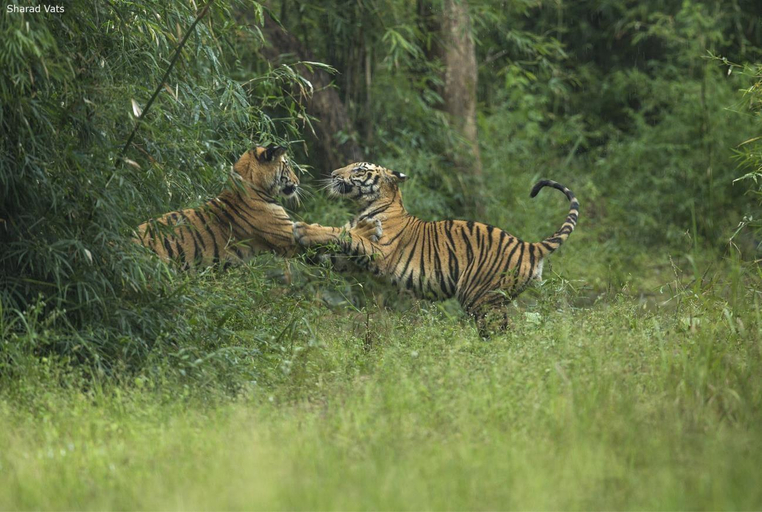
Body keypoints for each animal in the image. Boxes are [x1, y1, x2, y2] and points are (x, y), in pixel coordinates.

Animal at [292, 162, 579, 336]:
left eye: (359, 170)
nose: (333, 174)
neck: (368, 205)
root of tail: (528, 245)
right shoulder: (348, 260)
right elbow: (333, 249)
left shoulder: (378, 251)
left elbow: (341, 233)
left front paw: (303, 229)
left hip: (481, 297)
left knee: (501, 332)